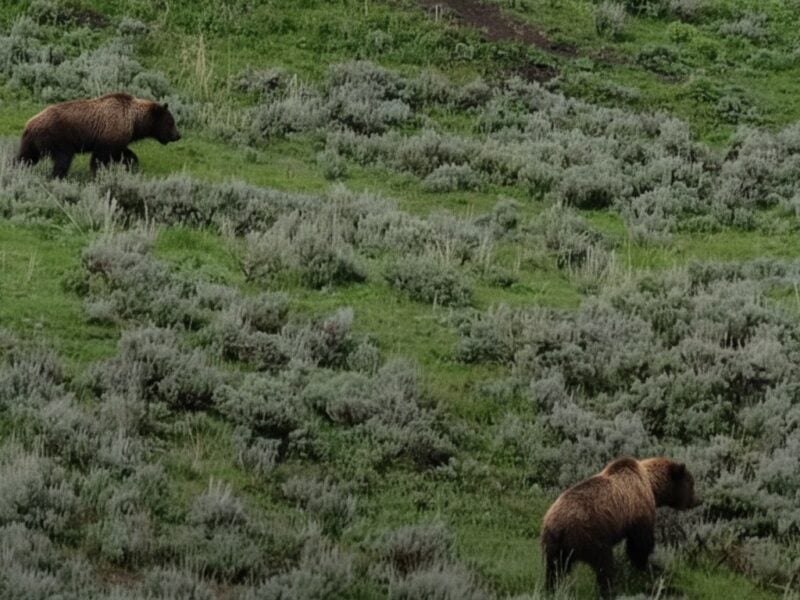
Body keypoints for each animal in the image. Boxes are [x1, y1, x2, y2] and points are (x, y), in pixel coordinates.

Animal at [16, 92, 181, 178]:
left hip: (31, 143)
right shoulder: (109, 134)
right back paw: (58, 176)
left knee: (25, 157)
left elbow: (123, 153)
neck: (134, 121)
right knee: (63, 159)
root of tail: (29, 124)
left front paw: (131, 164)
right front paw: (98, 174)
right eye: (170, 122)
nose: (178, 135)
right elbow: (100, 158)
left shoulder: (118, 138)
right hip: (57, 138)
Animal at [540, 457, 699, 598]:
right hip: (588, 534)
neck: (651, 485)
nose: (697, 501)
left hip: (555, 546)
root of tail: (557, 526)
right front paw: (650, 567)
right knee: (604, 565)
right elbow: (639, 547)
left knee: (555, 569)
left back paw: (551, 589)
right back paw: (610, 591)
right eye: (691, 484)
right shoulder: (639, 512)